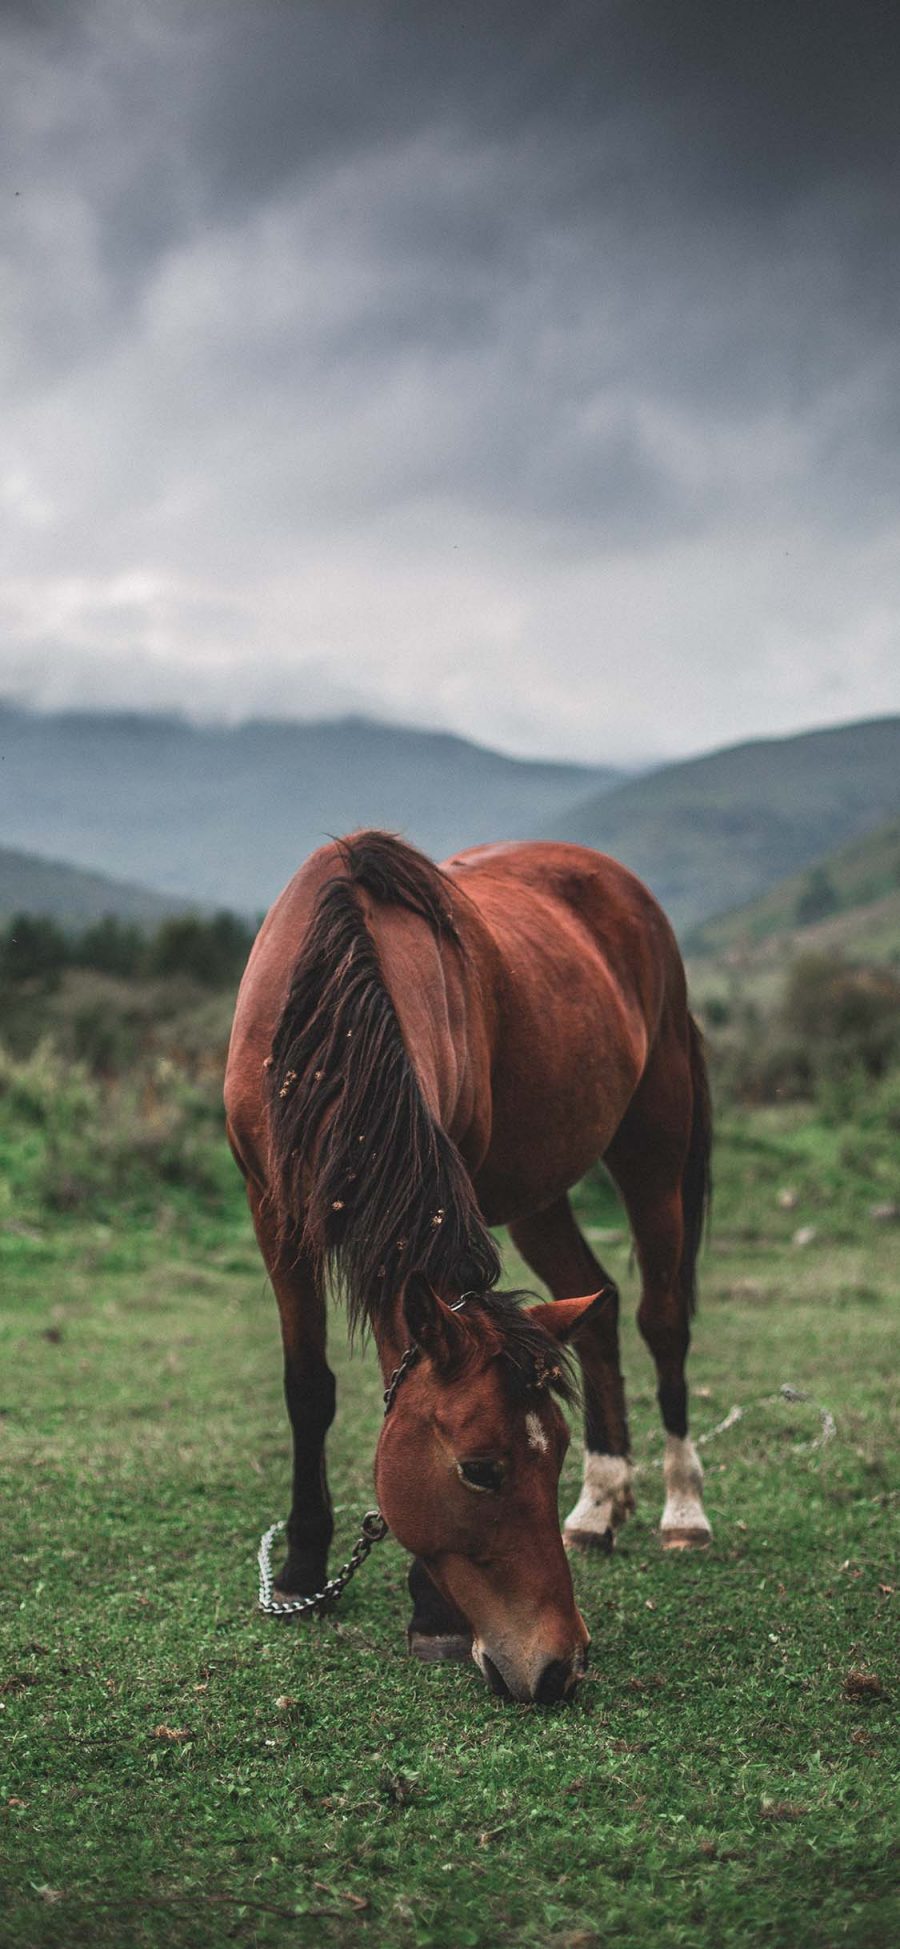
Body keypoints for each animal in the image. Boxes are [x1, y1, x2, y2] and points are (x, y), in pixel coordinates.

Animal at [223, 834, 709, 1707]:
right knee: (601, 1309)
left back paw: (684, 1511)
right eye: (480, 1470)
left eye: (550, 1450)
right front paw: (305, 1567)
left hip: (653, 1150)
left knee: (662, 1318)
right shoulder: (272, 1208)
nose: (560, 1665)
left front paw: (431, 1612)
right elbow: (308, 1387)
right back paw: (599, 1509)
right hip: (540, 1191)